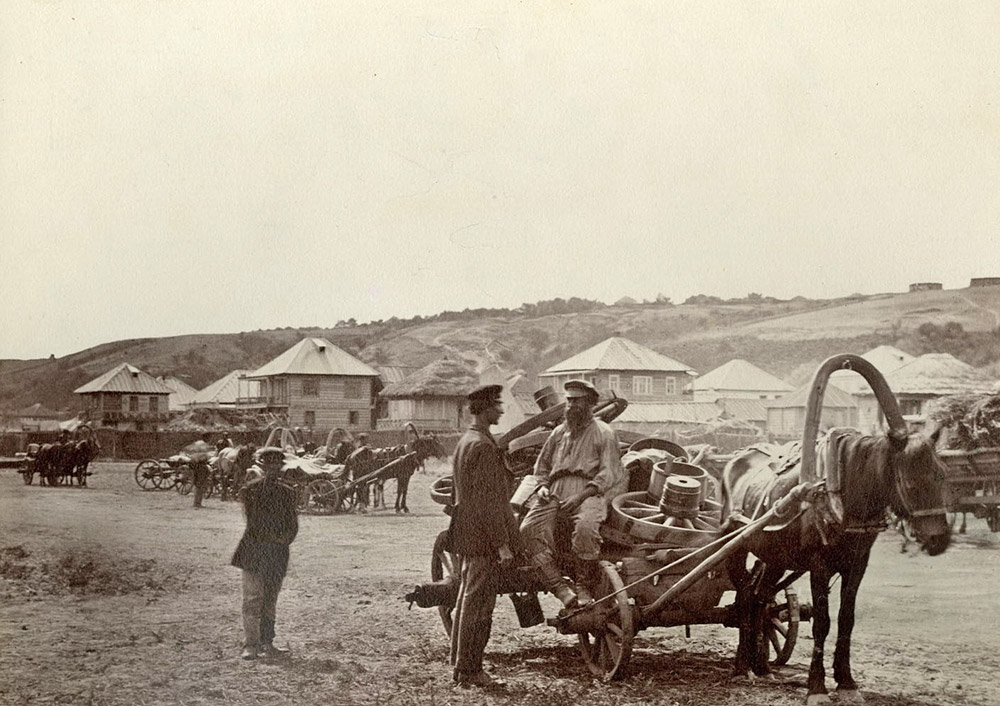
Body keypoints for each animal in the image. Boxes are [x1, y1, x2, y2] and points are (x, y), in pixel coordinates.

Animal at [724, 354, 948, 700]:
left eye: (942, 475)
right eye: (910, 482)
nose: (939, 539)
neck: (842, 492)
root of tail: (735, 460)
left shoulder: (857, 564)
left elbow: (846, 620)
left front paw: (846, 681)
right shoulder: (819, 566)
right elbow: (822, 622)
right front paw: (816, 686)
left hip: (774, 557)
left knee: (760, 599)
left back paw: (759, 665)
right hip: (736, 547)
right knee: (745, 598)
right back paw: (740, 668)